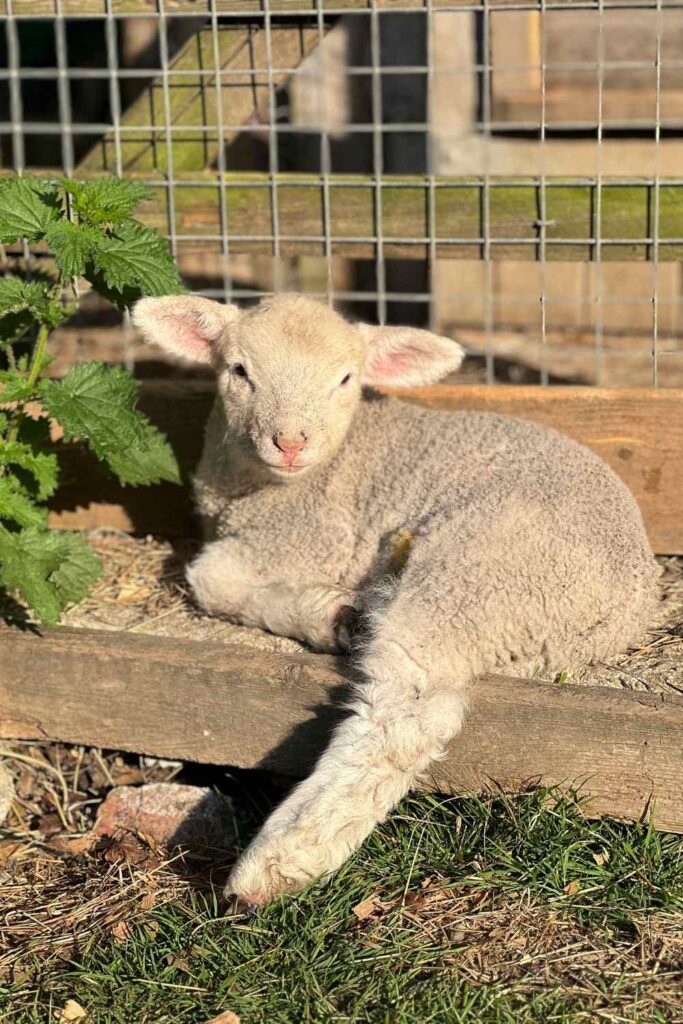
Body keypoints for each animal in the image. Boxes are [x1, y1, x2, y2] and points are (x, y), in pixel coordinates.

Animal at [132, 293, 660, 907]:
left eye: (345, 378)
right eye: (239, 371)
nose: (290, 442)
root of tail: (627, 599)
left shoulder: (310, 540)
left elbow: (208, 576)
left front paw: (323, 611)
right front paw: (332, 612)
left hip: (476, 574)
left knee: (407, 714)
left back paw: (282, 859)